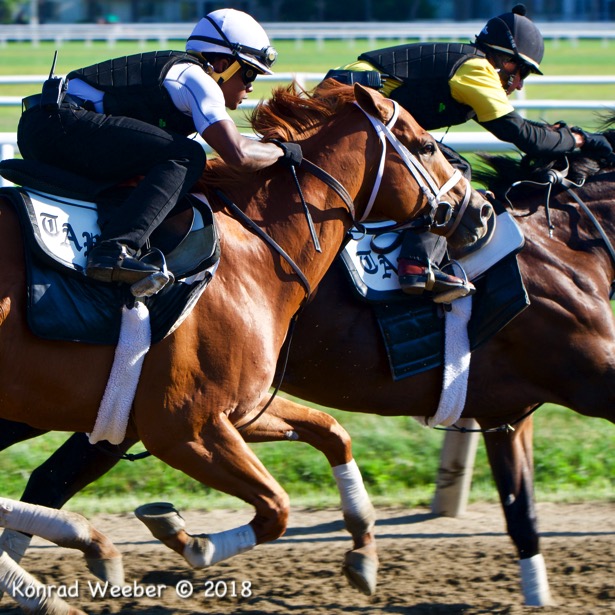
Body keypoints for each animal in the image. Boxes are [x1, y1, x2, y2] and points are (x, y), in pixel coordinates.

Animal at [2, 134, 612, 608]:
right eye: (423, 147)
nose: (480, 213)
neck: (564, 251)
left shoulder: (506, 413)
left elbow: (521, 512)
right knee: (50, 480)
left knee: (48, 480)